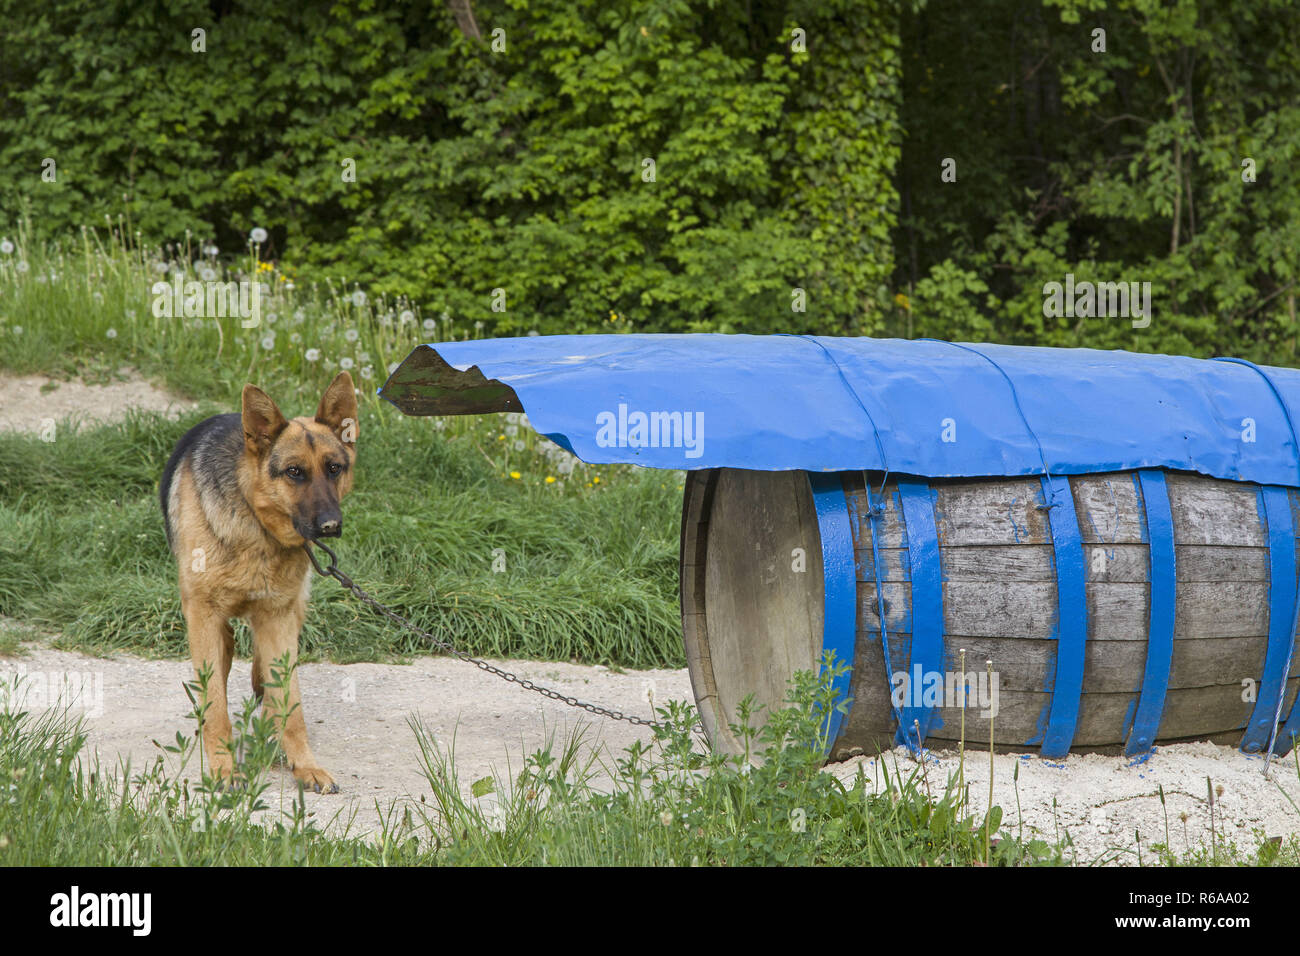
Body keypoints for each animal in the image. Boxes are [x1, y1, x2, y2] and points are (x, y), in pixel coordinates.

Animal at [159, 371, 358, 790]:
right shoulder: (203, 617)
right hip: (216, 627)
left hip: (292, 612)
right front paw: (223, 769)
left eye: (334, 468)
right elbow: (217, 705)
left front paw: (304, 764)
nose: (330, 526)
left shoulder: (278, 618)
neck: (256, 524)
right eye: (294, 472)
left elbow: (291, 704)